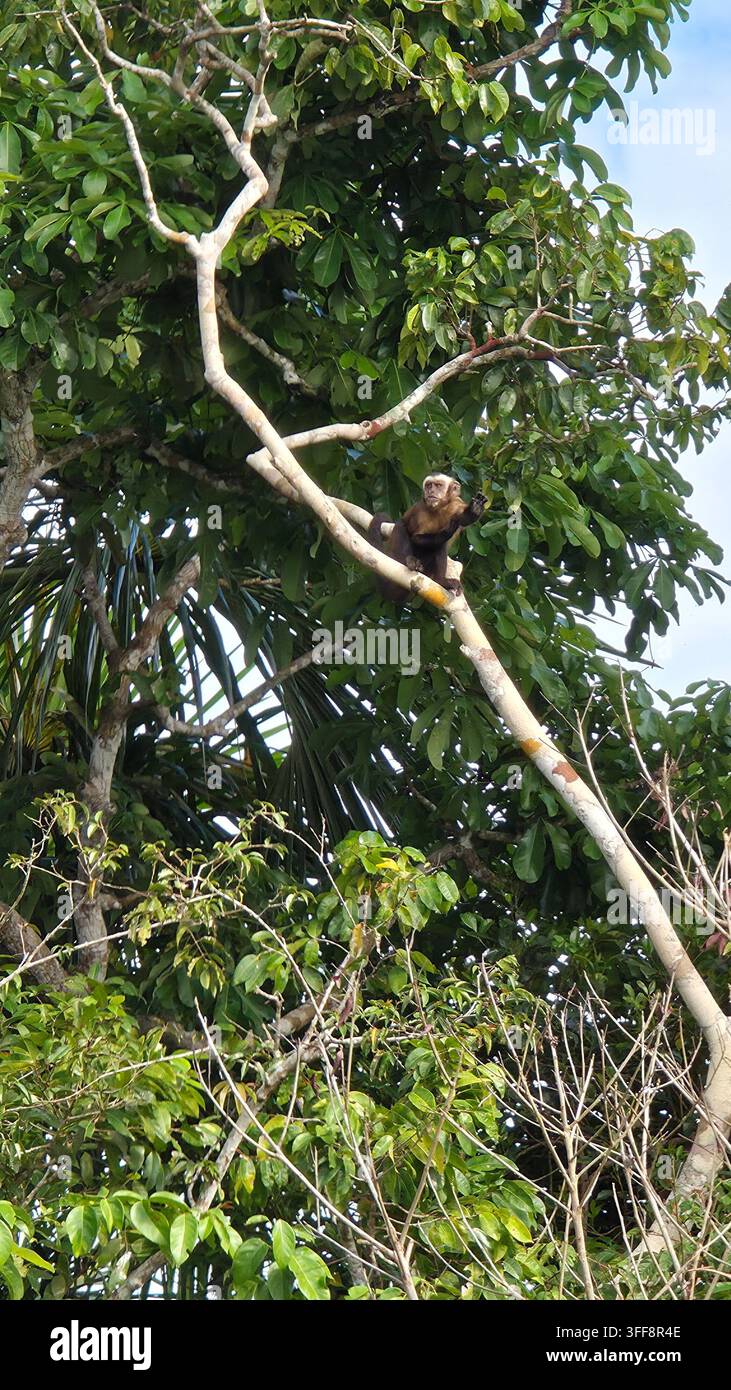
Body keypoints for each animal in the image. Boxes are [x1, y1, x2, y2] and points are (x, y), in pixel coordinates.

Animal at [368, 474, 486, 604]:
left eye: (438, 485)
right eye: (429, 485)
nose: (431, 491)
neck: (439, 508)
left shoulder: (456, 504)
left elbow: (465, 518)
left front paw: (475, 509)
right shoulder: (421, 509)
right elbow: (416, 538)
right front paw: (447, 531)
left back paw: (441, 582)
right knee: (402, 527)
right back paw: (411, 562)